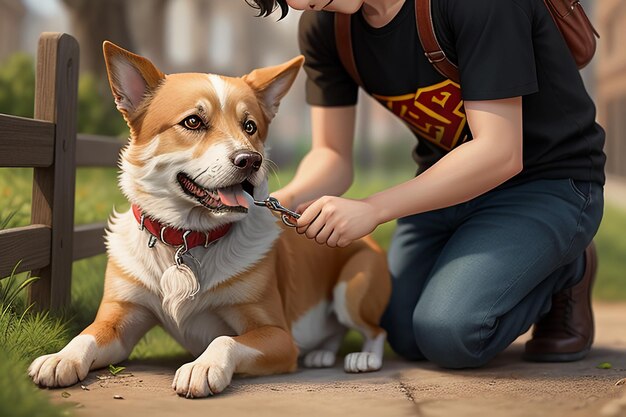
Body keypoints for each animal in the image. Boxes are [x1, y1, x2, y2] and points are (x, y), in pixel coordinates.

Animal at [29, 42, 392, 396]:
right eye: (193, 122)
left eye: (250, 127)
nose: (250, 160)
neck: (187, 238)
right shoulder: (119, 320)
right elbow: (86, 335)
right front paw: (60, 358)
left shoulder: (277, 335)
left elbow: (224, 339)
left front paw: (202, 367)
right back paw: (322, 354)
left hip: (352, 288)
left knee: (376, 330)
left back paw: (363, 359)